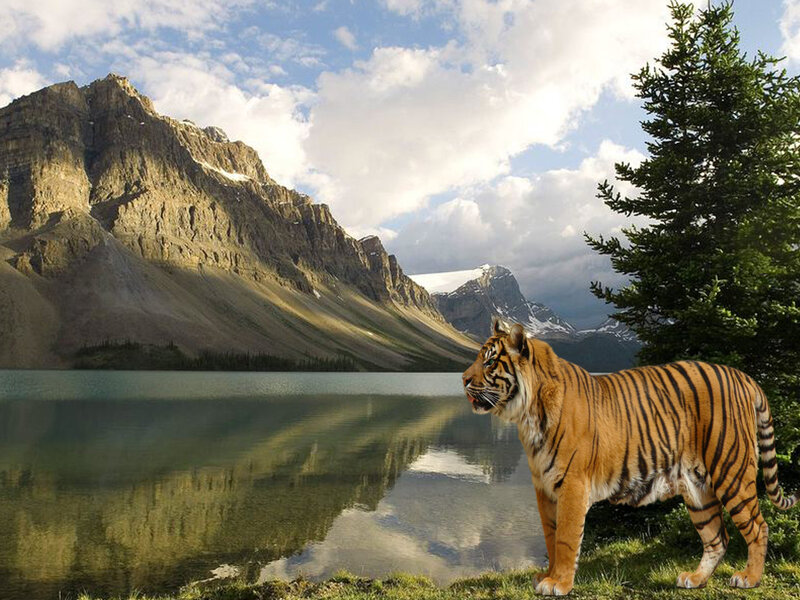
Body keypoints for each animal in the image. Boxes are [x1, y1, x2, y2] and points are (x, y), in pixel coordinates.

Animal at [462, 319, 798, 596]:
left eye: (489, 361)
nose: (463, 379)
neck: (528, 415)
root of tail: (743, 376)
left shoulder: (572, 484)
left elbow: (566, 539)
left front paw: (559, 584)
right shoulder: (544, 488)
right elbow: (550, 536)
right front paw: (547, 576)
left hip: (731, 472)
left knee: (758, 526)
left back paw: (749, 578)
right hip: (697, 490)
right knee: (718, 537)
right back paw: (695, 579)